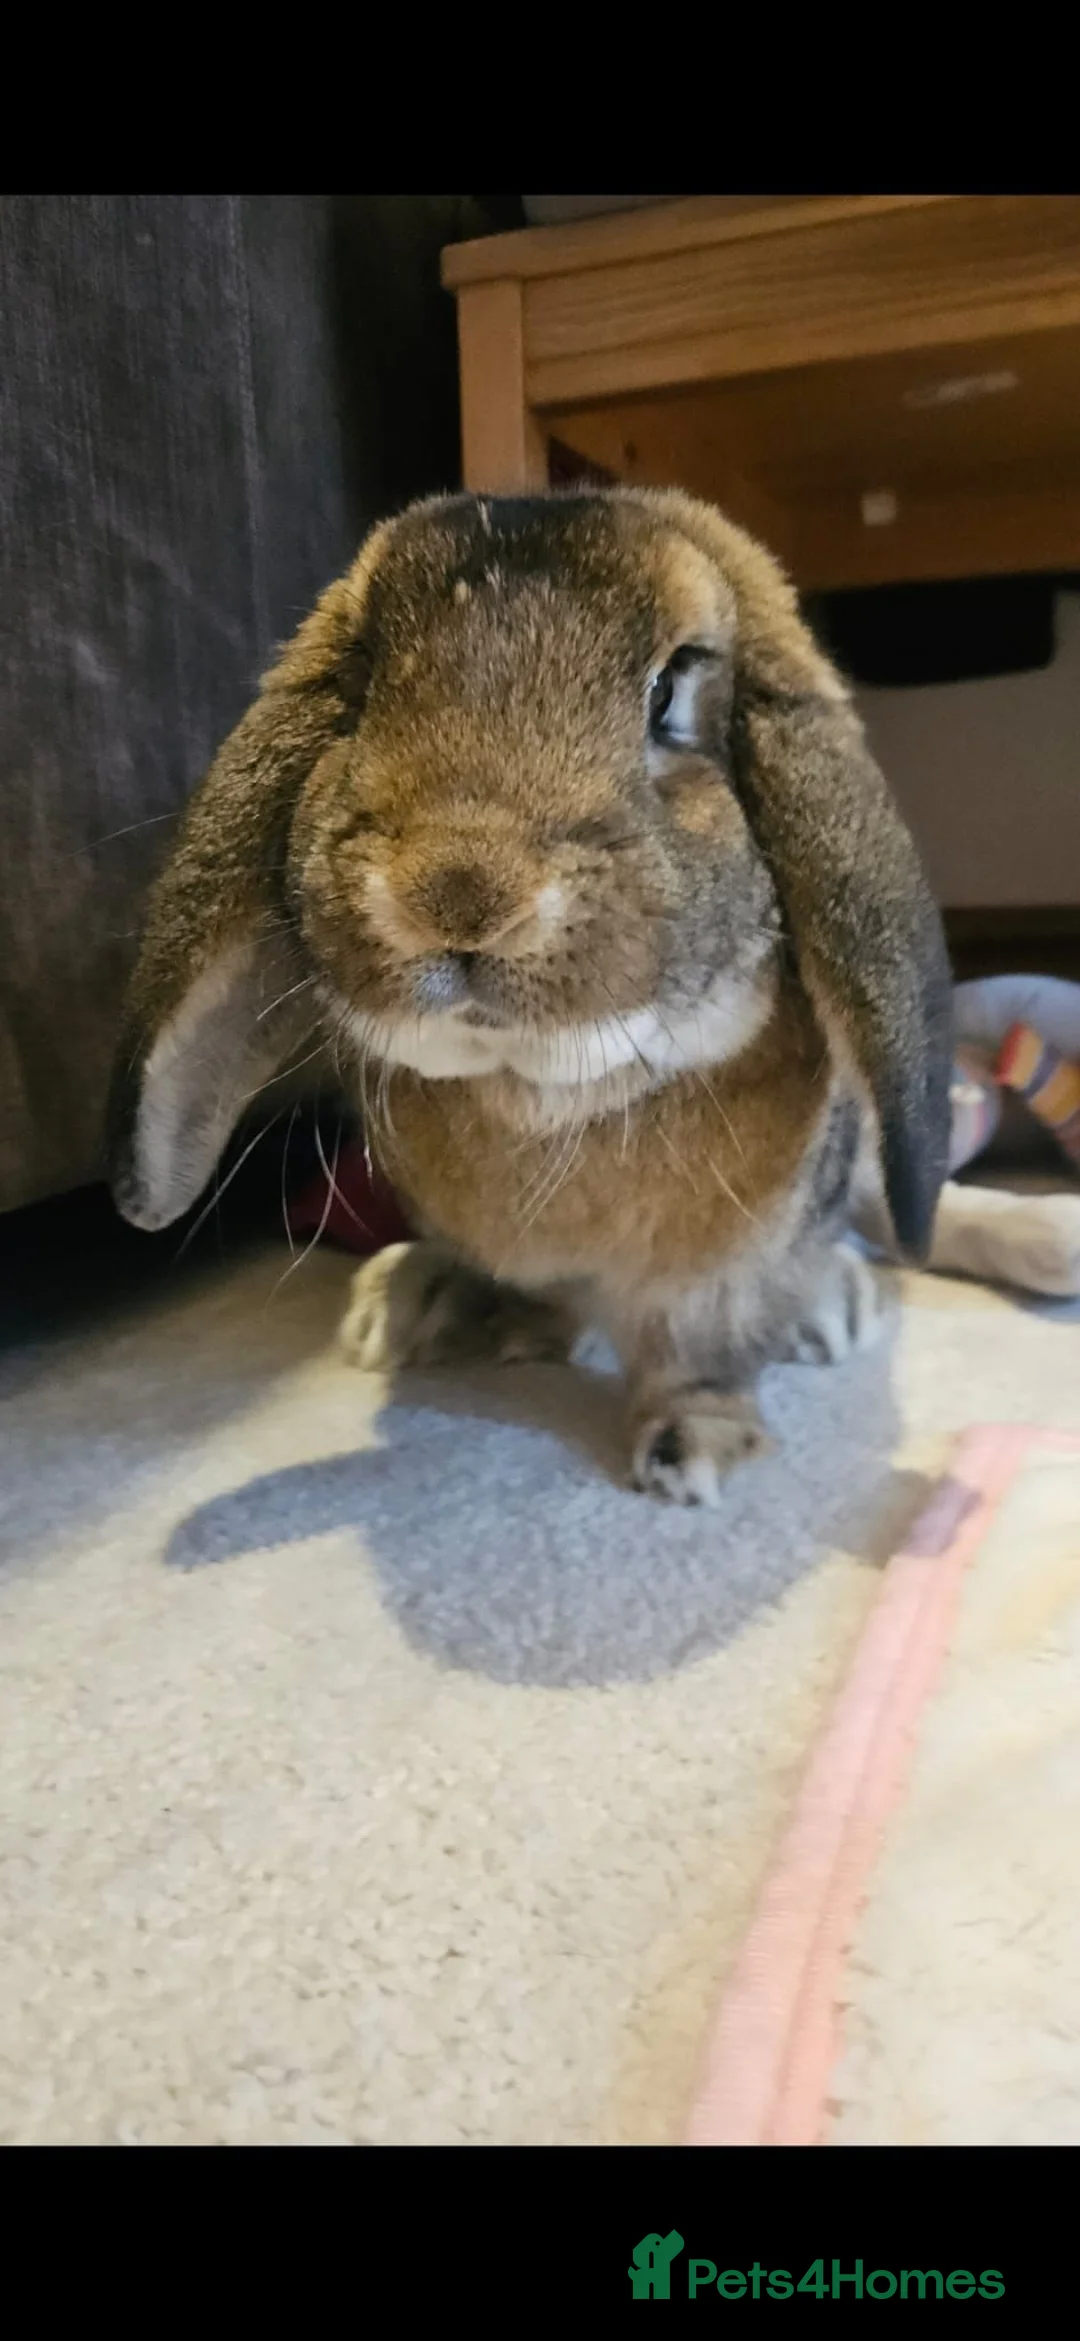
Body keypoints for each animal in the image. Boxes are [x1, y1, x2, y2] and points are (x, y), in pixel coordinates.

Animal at [108, 488, 954, 1506]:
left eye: (671, 691)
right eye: (361, 680)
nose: (457, 892)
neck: (547, 1096)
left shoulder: (719, 1274)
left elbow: (698, 1357)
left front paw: (693, 1455)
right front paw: (517, 1331)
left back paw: (836, 1307)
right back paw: (406, 1301)